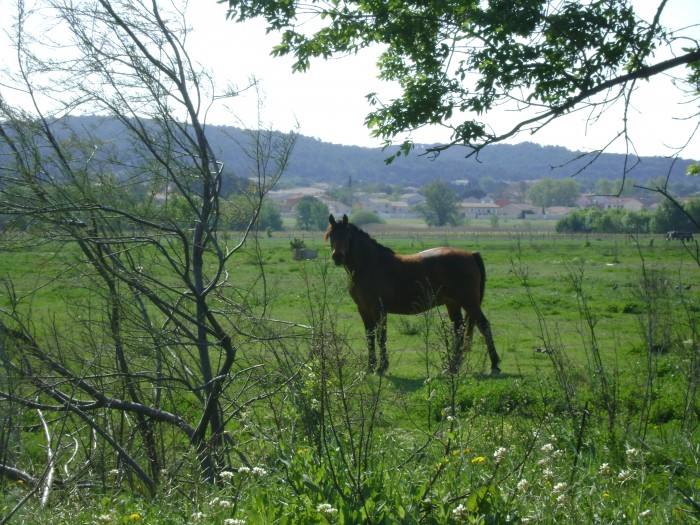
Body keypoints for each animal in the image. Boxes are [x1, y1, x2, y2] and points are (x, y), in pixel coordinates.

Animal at [326, 215, 500, 374]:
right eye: (331, 236)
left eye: (346, 236)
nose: (337, 256)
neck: (371, 265)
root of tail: (471, 254)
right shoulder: (363, 309)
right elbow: (370, 336)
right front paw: (370, 368)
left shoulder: (379, 309)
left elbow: (381, 336)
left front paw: (382, 367)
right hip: (453, 303)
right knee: (459, 330)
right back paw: (452, 368)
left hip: (469, 302)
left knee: (484, 326)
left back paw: (494, 366)